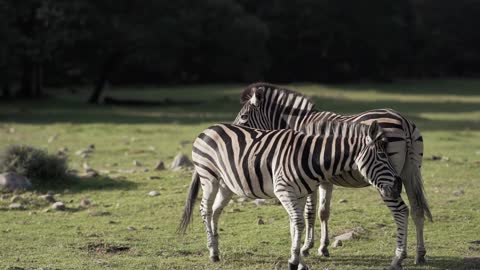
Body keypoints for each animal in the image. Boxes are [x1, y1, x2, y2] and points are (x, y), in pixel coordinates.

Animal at [178, 121, 404, 270]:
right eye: (382, 156)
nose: (398, 186)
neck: (312, 157)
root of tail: (207, 129)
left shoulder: (301, 194)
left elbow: (296, 224)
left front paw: (298, 259)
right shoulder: (284, 191)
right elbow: (299, 223)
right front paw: (295, 260)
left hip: (227, 184)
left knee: (216, 211)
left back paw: (216, 252)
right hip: (209, 177)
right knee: (205, 210)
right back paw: (211, 251)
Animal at [232, 82, 432, 268]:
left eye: (243, 116)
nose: (234, 135)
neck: (298, 124)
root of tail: (404, 121)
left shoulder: (308, 178)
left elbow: (310, 213)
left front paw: (305, 248)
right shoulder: (324, 180)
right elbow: (323, 212)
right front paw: (323, 248)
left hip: (385, 181)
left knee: (401, 211)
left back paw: (398, 257)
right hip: (409, 172)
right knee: (417, 209)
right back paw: (420, 255)